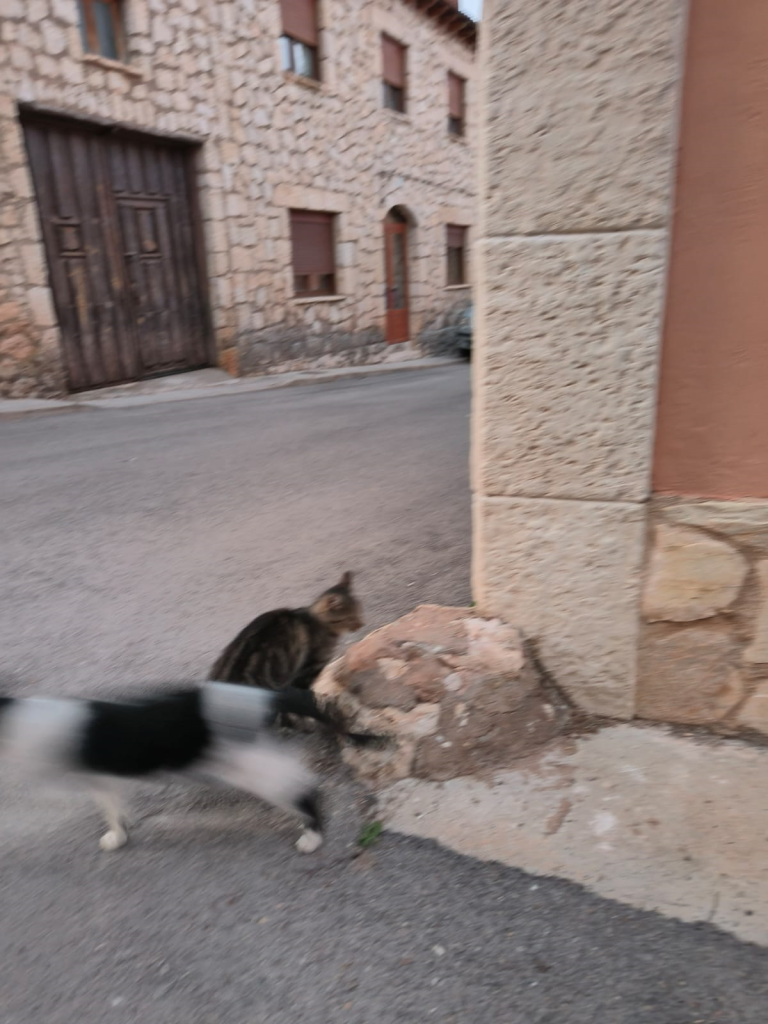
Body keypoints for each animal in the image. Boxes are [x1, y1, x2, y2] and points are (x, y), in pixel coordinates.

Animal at [0, 688, 331, 856]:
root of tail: (260, 696)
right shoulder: (104, 781)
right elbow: (116, 807)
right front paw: (124, 828)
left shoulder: (97, 779)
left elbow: (110, 811)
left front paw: (116, 837)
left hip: (250, 767)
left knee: (303, 787)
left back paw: (312, 837)